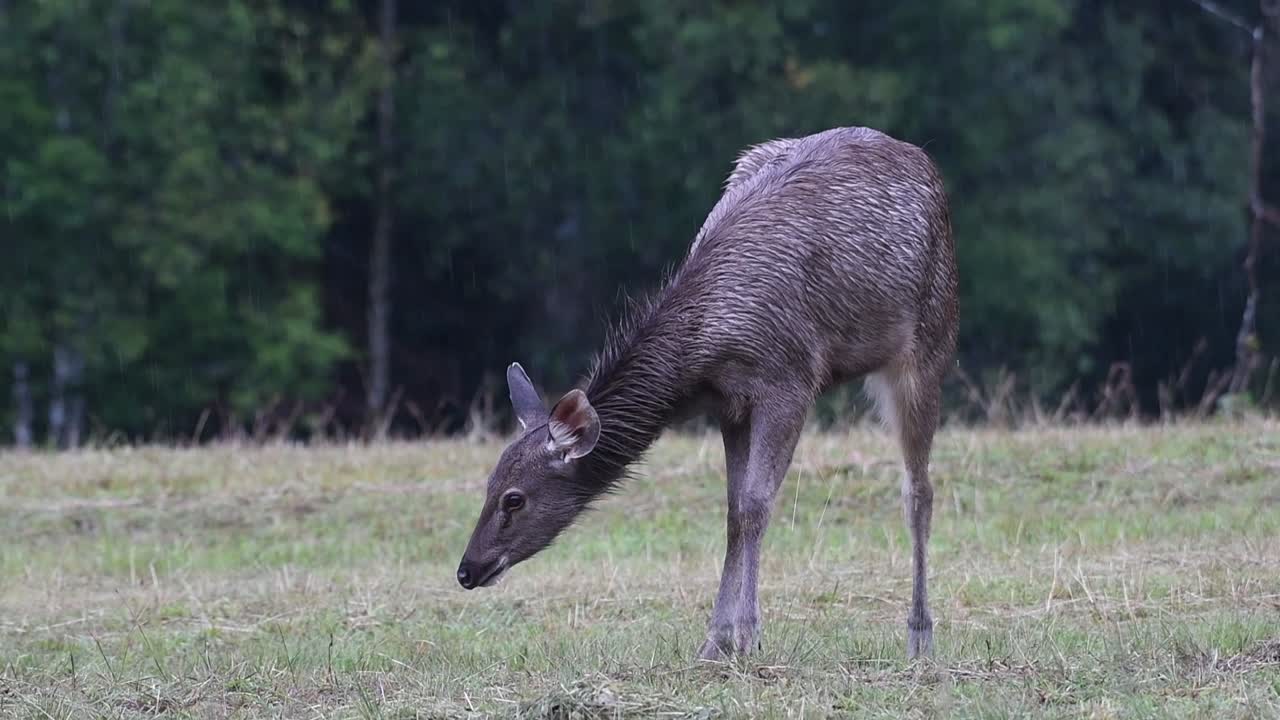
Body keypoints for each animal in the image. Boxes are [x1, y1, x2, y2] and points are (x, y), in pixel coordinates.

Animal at [456, 126, 958, 661]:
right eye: (488, 483)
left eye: (514, 499)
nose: (467, 569)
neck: (707, 348)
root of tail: (923, 160)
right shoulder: (730, 406)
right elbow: (735, 511)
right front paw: (714, 641)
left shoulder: (790, 381)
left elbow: (758, 504)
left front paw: (749, 635)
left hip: (931, 339)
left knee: (918, 488)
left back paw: (920, 635)